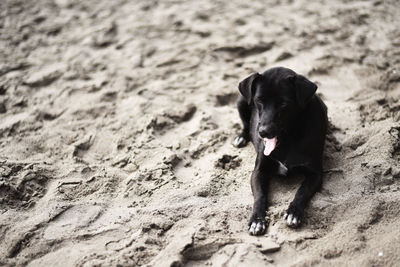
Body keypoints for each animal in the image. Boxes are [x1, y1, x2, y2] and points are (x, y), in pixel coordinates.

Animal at [233, 67, 326, 237]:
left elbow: (302, 191)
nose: (263, 132)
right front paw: (257, 220)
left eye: (283, 103)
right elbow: (260, 196)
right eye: (259, 100)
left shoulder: (315, 173)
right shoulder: (259, 171)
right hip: (242, 101)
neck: (287, 138)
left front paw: (293, 212)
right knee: (245, 124)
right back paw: (241, 137)